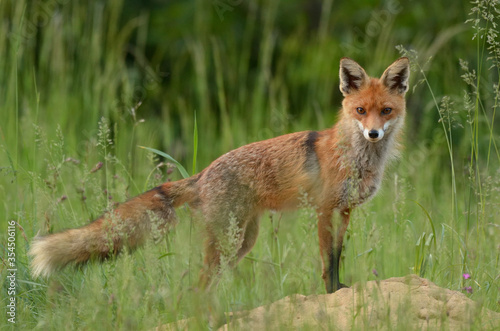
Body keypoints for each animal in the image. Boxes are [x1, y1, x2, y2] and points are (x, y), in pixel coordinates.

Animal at [28, 57, 410, 294]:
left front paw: (340, 288)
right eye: (360, 110)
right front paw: (330, 293)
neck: (357, 158)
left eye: (385, 111)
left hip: (241, 242)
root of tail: (202, 174)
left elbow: (337, 255)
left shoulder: (344, 211)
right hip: (229, 241)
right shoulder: (323, 210)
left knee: (204, 286)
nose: (373, 133)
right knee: (197, 286)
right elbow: (327, 261)